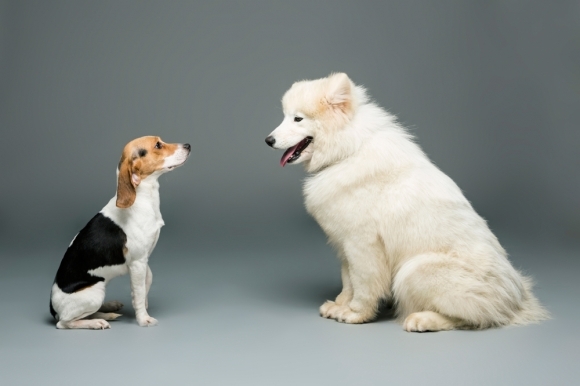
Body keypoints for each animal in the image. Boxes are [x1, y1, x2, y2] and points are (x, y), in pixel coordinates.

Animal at [266, 73, 548, 332]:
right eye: (284, 116)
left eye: (298, 118)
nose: (268, 140)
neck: (348, 151)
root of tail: (517, 302)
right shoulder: (344, 243)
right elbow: (348, 280)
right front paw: (340, 304)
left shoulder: (363, 243)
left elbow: (363, 283)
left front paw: (356, 313)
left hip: (414, 270)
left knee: (472, 318)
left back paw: (422, 320)